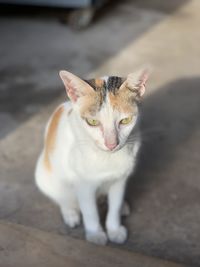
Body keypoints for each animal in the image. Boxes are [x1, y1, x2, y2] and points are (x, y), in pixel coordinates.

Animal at [35, 69, 148, 247]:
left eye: (125, 120)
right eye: (93, 122)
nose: (111, 144)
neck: (107, 159)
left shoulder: (120, 179)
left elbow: (115, 205)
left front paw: (114, 229)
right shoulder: (83, 185)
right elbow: (90, 211)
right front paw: (95, 234)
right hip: (44, 176)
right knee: (62, 197)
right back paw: (70, 213)